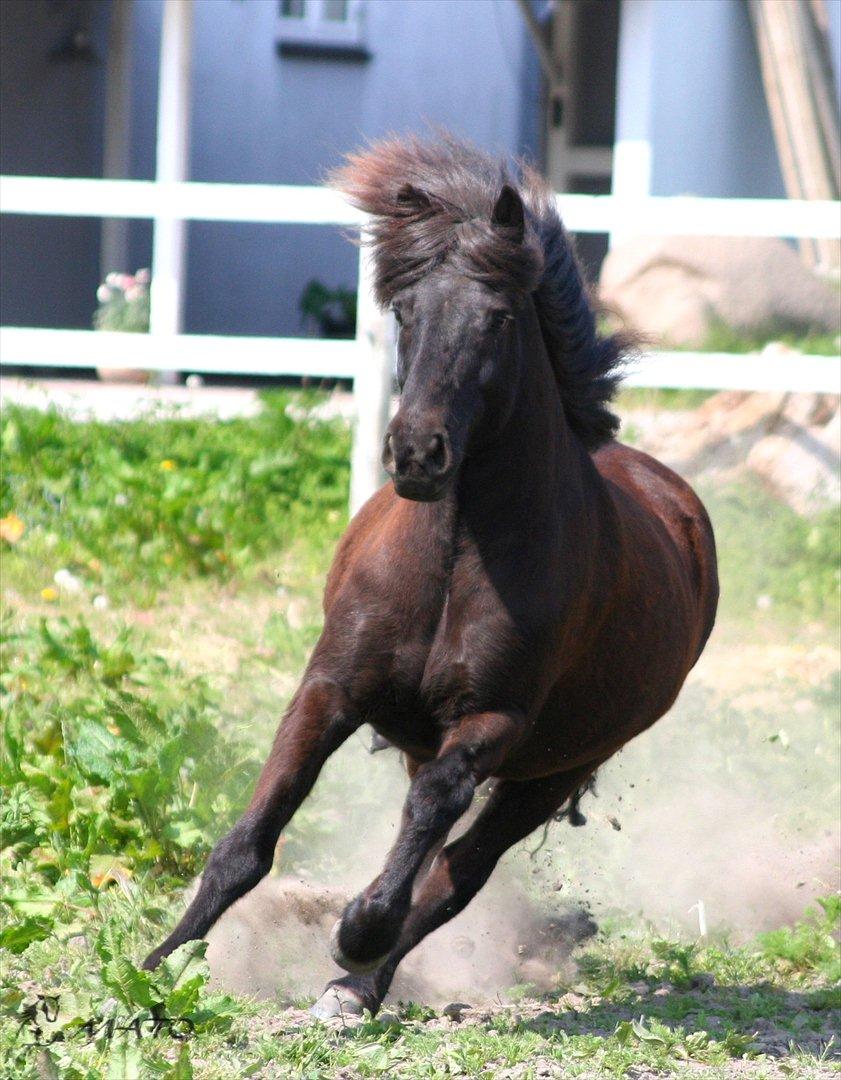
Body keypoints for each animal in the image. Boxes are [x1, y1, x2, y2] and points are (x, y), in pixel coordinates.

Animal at [143, 137, 716, 1019]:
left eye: (498, 317)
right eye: (406, 313)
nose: (417, 452)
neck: (452, 561)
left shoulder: (493, 721)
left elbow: (432, 838)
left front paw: (357, 933)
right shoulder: (331, 685)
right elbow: (250, 841)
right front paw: (159, 966)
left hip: (550, 770)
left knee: (455, 869)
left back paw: (358, 982)